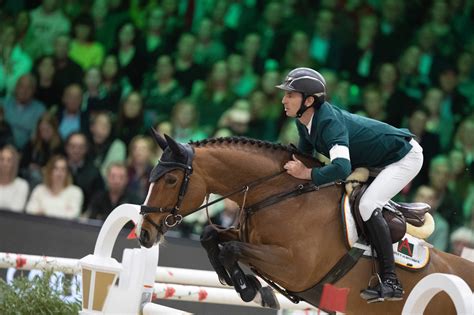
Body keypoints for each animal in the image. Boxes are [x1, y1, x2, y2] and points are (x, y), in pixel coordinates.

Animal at [137, 134, 474, 315]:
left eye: (170, 180)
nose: (144, 234)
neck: (281, 193)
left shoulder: (294, 267)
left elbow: (230, 248)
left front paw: (251, 289)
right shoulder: (252, 238)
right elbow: (211, 237)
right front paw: (245, 285)